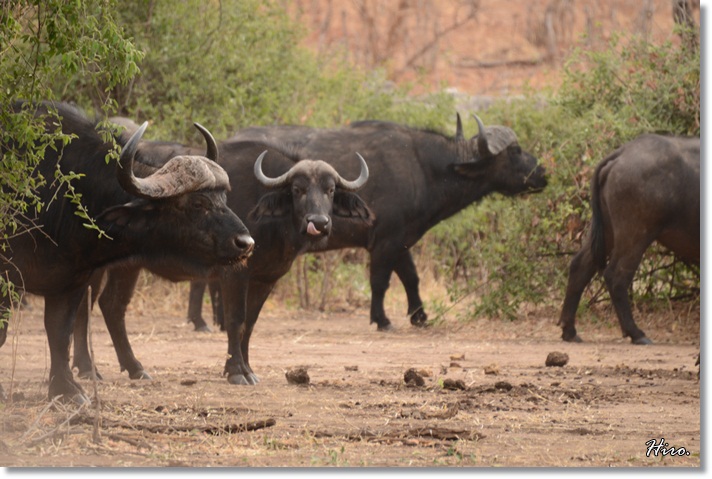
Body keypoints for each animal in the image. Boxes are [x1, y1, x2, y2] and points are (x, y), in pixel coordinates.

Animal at [0, 102, 256, 404]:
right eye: (197, 203)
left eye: (223, 198)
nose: (246, 242)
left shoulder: (72, 281)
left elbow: (59, 332)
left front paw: (65, 390)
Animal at [556, 134, 700, 344]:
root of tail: (622, 152)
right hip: (635, 233)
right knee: (616, 276)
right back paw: (636, 333)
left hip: (606, 229)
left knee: (580, 266)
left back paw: (569, 331)